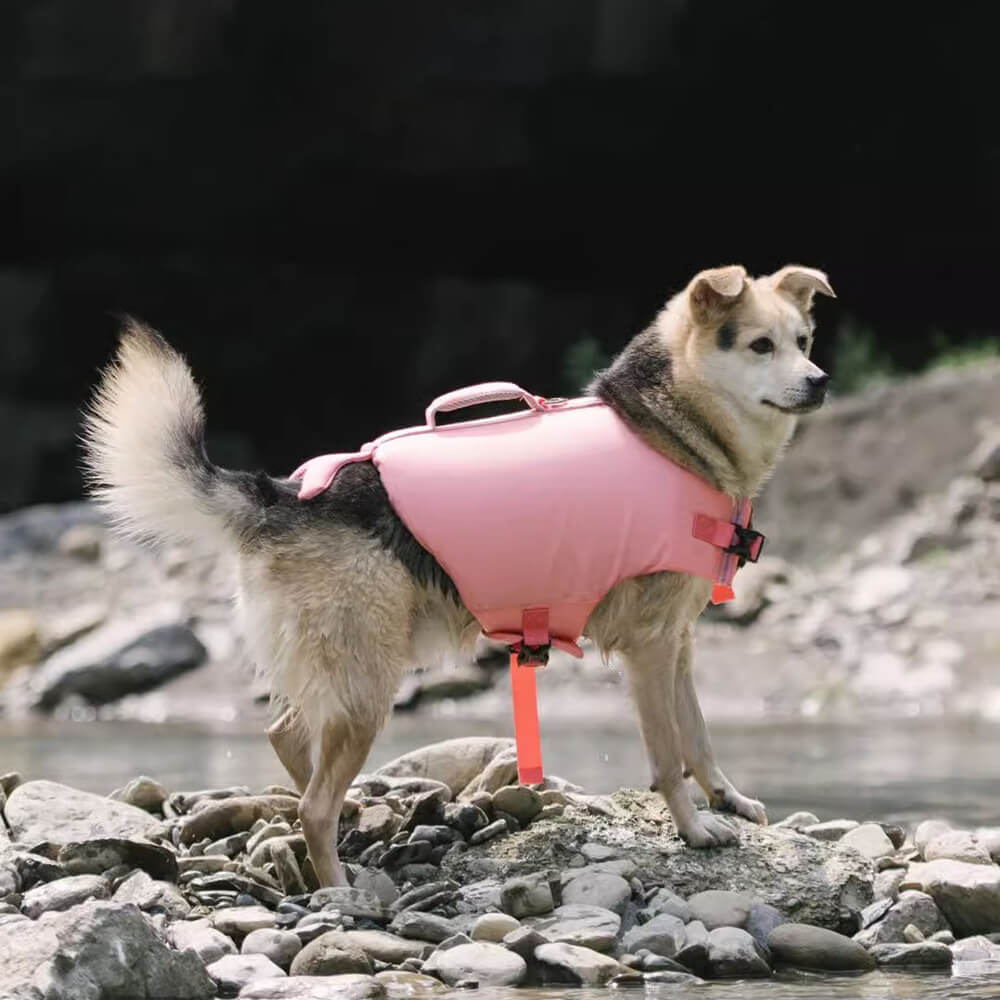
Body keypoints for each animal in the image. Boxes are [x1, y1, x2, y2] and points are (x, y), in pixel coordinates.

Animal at [84, 264, 836, 884]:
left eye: (803, 340)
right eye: (759, 346)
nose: (820, 381)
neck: (669, 429)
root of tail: (281, 494)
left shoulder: (677, 641)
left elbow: (699, 736)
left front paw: (727, 799)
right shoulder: (649, 650)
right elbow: (666, 754)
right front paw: (694, 829)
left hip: (342, 669)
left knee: (288, 737)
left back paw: (350, 824)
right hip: (367, 682)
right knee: (311, 805)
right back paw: (341, 891)